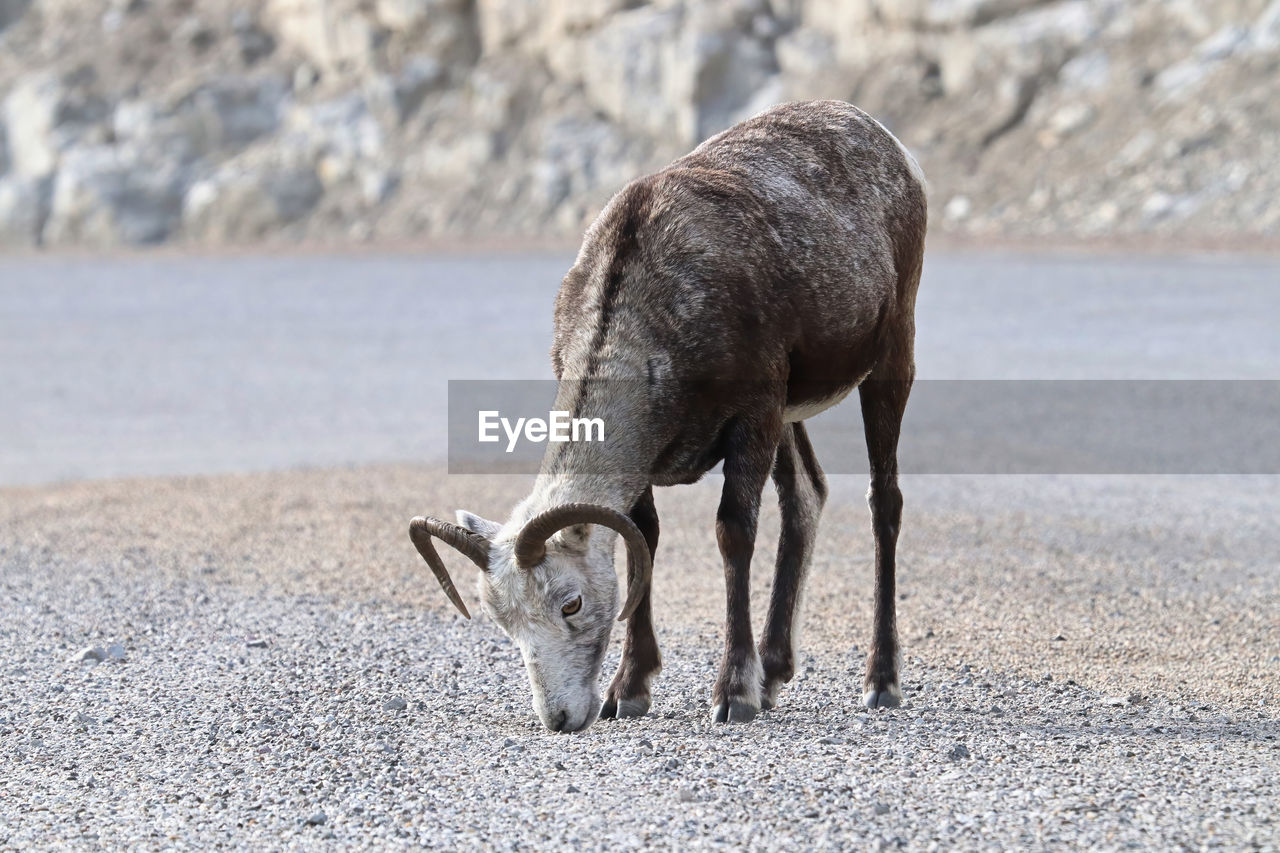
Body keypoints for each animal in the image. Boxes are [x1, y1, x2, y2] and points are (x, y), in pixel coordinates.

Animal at [414, 96, 926, 727]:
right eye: (500, 618)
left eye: (571, 603)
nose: (560, 719)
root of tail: (887, 142)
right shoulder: (665, 459)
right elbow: (646, 540)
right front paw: (628, 691)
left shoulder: (753, 419)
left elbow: (733, 533)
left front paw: (732, 695)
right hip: (792, 415)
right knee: (807, 494)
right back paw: (775, 673)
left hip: (889, 359)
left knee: (885, 503)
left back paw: (879, 682)